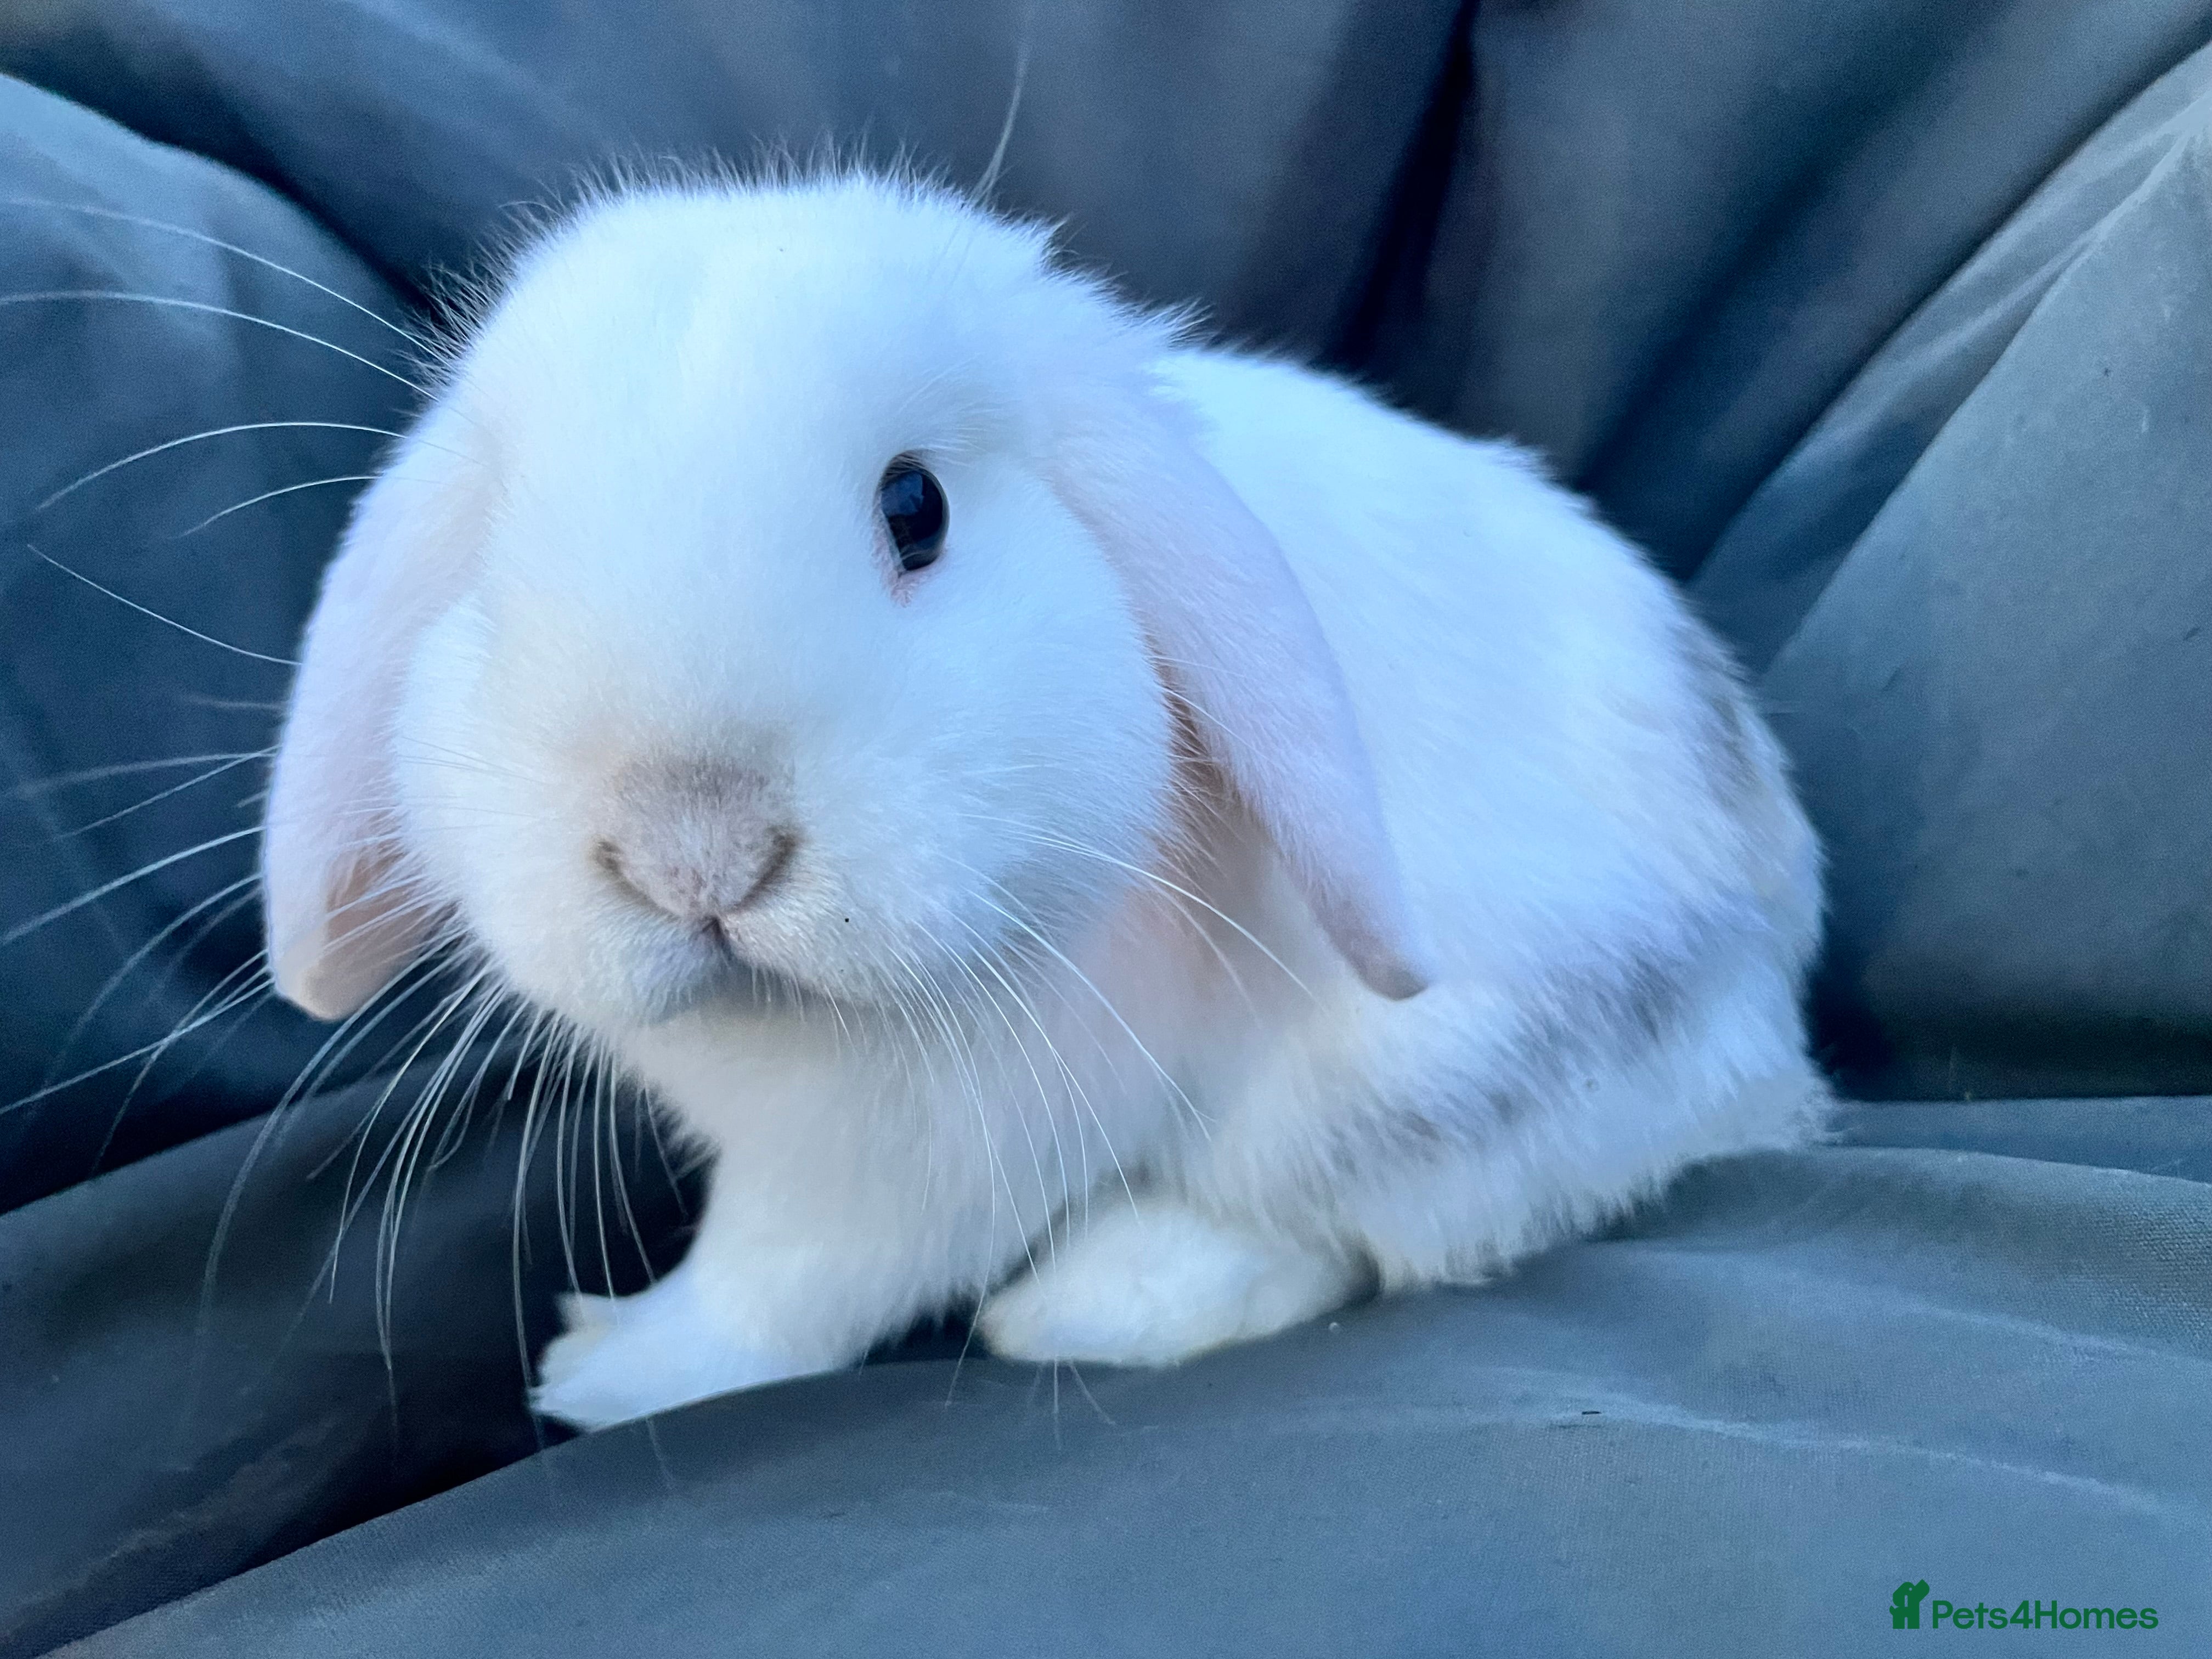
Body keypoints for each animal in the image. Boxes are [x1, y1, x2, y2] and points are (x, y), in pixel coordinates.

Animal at [260, 169, 1828, 1432]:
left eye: (917, 510)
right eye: (485, 569)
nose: (693, 854)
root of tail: (1767, 1007)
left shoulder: (916, 1161)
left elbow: (786, 1287)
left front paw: (610, 1371)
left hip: (1423, 1082)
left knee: (1361, 1226)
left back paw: (1080, 1307)